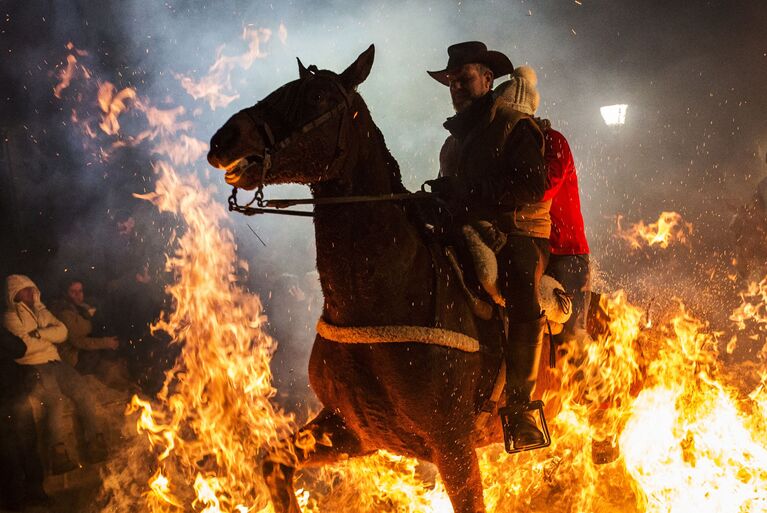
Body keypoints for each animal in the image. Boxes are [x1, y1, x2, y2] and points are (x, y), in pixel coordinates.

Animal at [207, 45, 560, 512]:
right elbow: (274, 465)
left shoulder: (454, 447)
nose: (223, 139)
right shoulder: (352, 430)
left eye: (317, 97)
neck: (387, 296)